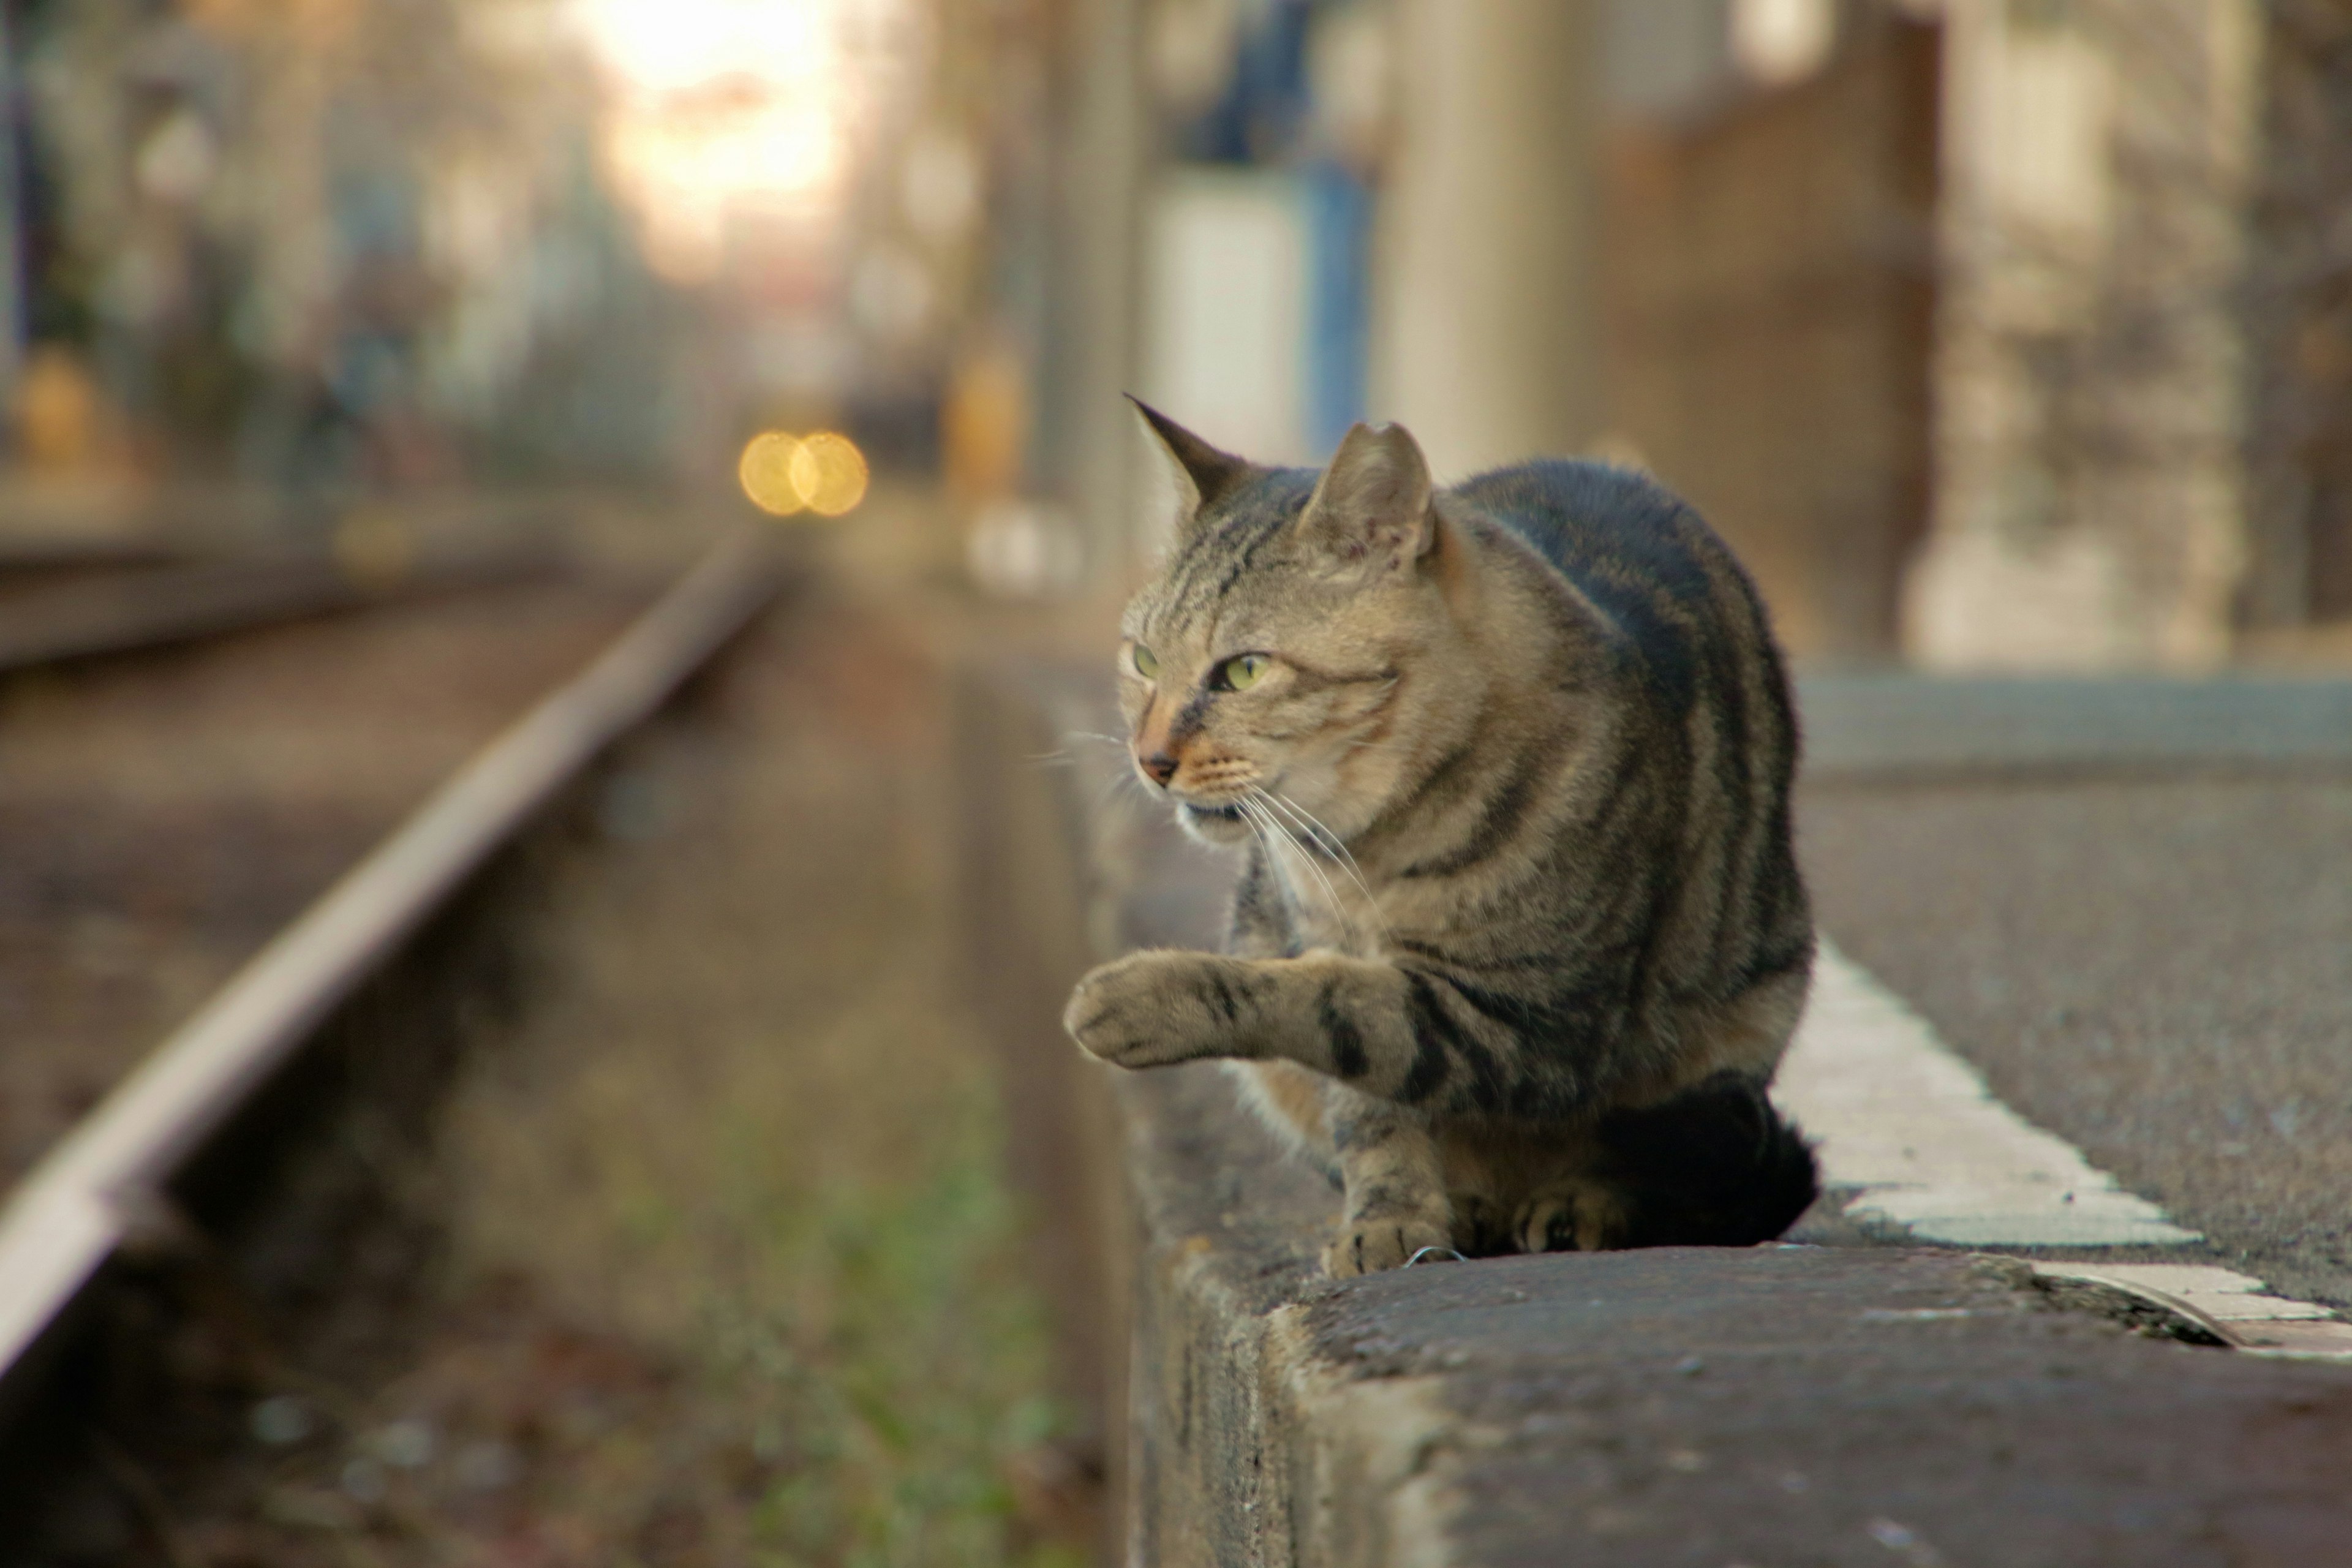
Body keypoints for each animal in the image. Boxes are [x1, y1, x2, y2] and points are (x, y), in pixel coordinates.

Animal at [1068, 404, 1815, 1278]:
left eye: (1244, 671)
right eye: (1145, 659)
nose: (1149, 759)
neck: (1366, 846)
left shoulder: (1531, 1018)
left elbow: (1332, 1002)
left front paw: (1143, 995)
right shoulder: (1324, 942)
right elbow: (1370, 1097)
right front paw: (1393, 1217)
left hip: (1721, 1071)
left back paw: (1580, 1203)